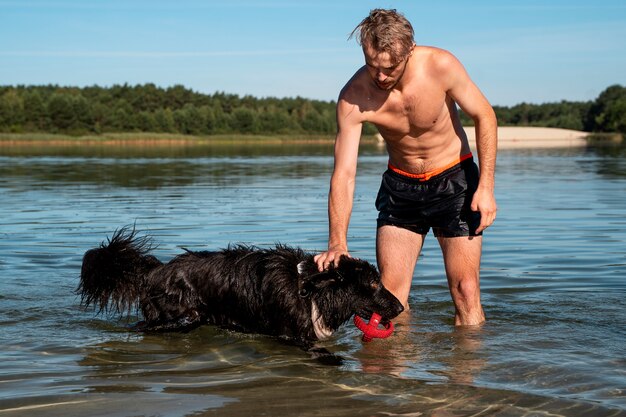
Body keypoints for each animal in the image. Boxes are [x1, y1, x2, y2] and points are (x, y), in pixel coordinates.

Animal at [78, 228, 402, 344]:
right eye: (373, 283)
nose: (399, 307)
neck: (311, 290)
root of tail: (155, 270)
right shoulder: (291, 336)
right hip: (182, 315)